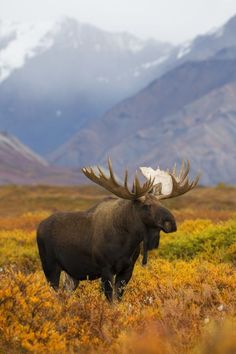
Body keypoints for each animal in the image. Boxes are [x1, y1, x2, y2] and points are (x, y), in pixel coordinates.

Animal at [37, 160, 199, 302]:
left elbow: (118, 299)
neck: (128, 242)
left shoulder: (127, 269)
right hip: (50, 267)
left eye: (161, 203)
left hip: (71, 274)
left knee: (64, 295)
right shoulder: (106, 269)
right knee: (56, 294)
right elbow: (111, 301)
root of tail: (39, 227)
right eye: (146, 205)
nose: (171, 223)